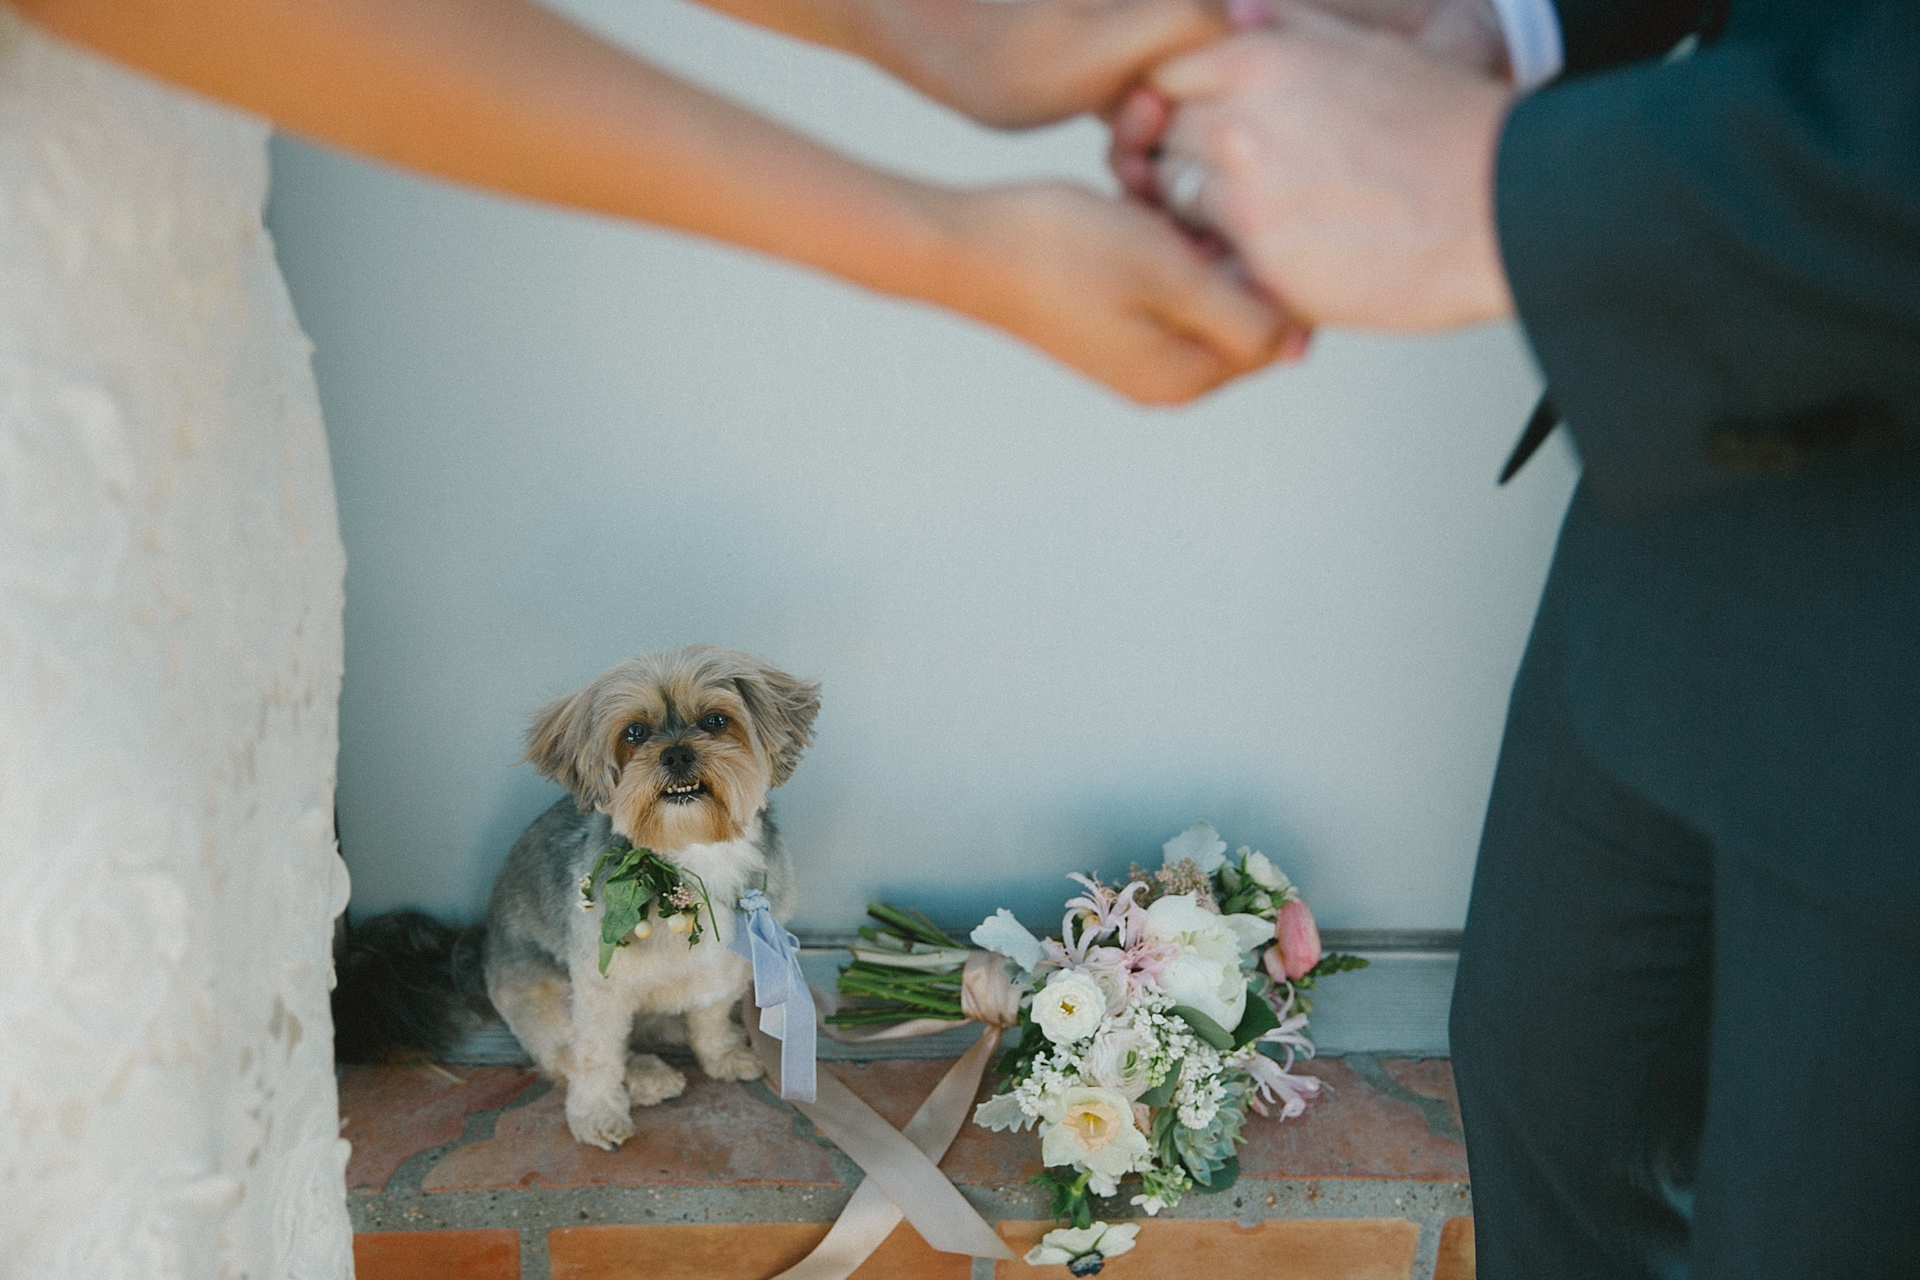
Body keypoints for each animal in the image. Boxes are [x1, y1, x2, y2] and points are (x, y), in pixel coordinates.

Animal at [334, 644, 814, 1159]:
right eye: (634, 733)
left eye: (715, 721)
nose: (676, 753)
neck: (696, 854)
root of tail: (477, 949)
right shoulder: (600, 986)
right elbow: (596, 1057)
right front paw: (598, 1115)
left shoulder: (727, 965)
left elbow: (710, 1016)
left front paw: (722, 1055)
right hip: (544, 998)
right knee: (567, 1053)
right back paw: (643, 1076)